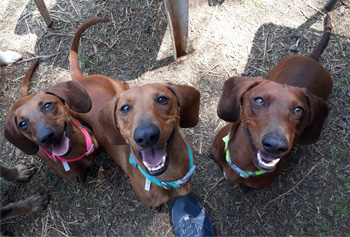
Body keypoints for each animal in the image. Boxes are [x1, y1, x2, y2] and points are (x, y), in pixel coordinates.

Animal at [68, 18, 200, 208]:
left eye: (162, 99)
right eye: (124, 108)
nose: (146, 136)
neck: (169, 177)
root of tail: (81, 80)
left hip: (117, 84)